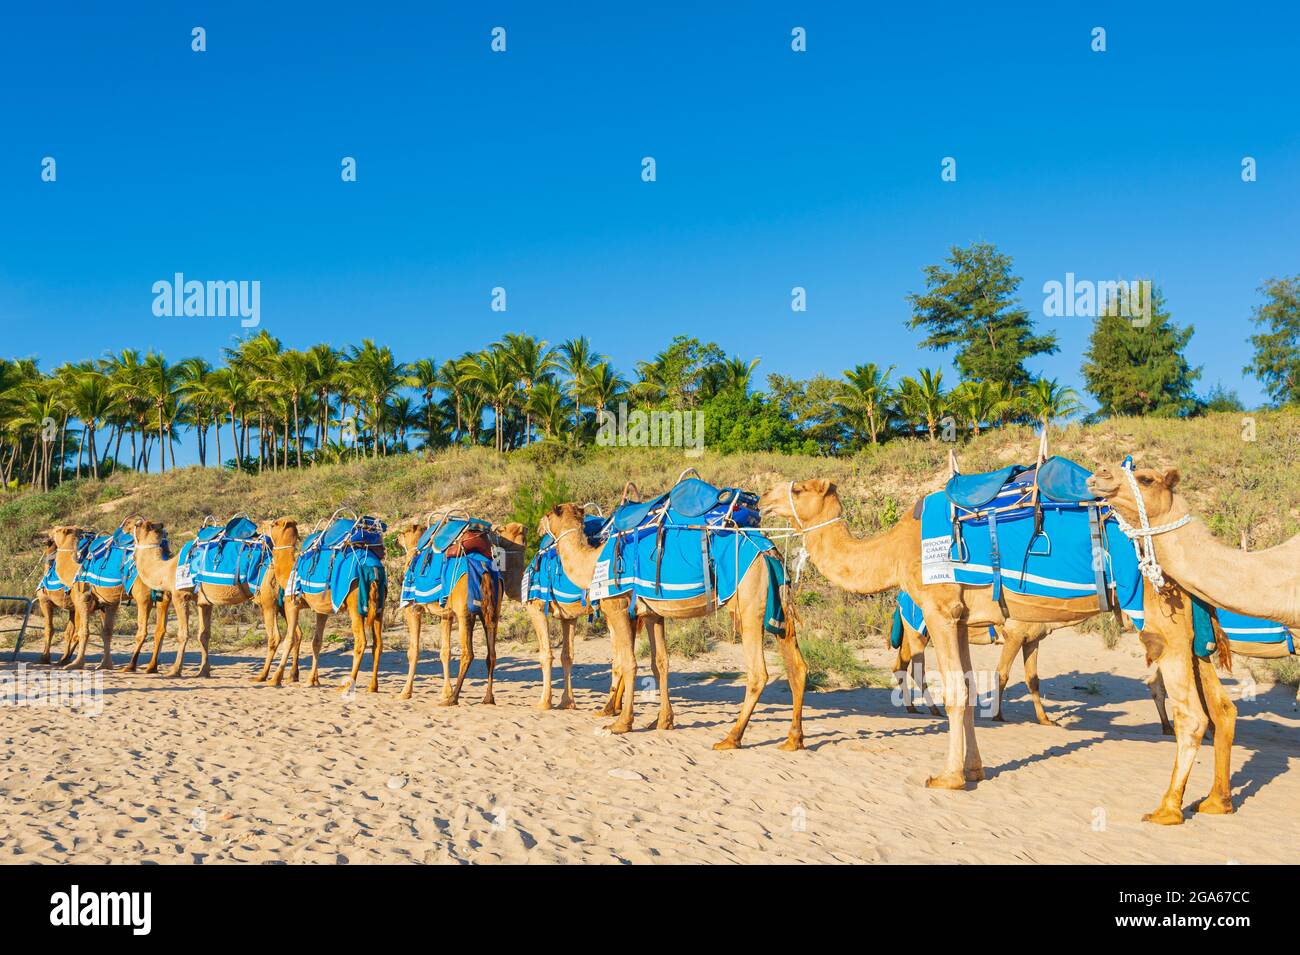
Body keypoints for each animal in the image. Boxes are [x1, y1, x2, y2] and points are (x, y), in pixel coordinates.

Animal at [47, 522, 171, 670]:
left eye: (59, 530)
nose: (49, 533)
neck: (74, 569)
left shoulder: (82, 598)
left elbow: (83, 631)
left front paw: (76, 664)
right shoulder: (110, 603)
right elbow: (106, 632)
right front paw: (105, 665)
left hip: (143, 596)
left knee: (143, 631)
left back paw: (130, 666)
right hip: (163, 595)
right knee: (160, 630)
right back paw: (152, 667)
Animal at [128, 514, 297, 680]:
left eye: (138, 525)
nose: (128, 528)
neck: (167, 570)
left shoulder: (180, 595)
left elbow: (183, 634)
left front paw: (174, 671)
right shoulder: (204, 602)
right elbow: (203, 635)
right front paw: (203, 671)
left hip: (268, 600)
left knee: (275, 636)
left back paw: (263, 676)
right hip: (284, 602)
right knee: (295, 634)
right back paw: (291, 676)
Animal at [392, 519, 525, 706]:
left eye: (403, 533)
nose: (395, 539)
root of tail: (484, 568)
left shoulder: (413, 608)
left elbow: (413, 651)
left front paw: (405, 693)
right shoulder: (446, 614)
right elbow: (445, 652)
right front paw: (445, 692)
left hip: (465, 614)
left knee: (468, 653)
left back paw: (453, 698)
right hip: (492, 612)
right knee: (491, 654)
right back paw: (487, 698)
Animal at [543, 501, 806, 753]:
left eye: (548, 514)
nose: (539, 529)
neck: (592, 563)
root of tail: (769, 550)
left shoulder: (618, 607)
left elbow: (629, 662)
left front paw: (621, 724)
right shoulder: (652, 614)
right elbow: (660, 663)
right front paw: (663, 721)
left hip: (748, 602)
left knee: (757, 672)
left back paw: (731, 738)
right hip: (778, 604)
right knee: (797, 666)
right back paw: (793, 740)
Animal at [759, 478, 1232, 821]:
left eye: (798, 490)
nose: (762, 498)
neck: (896, 550)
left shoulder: (941, 610)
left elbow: (958, 693)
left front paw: (947, 777)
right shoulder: (962, 618)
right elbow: (969, 692)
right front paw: (974, 770)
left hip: (1160, 614)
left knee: (1192, 713)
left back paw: (1168, 808)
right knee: (1215, 707)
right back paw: (1210, 801)